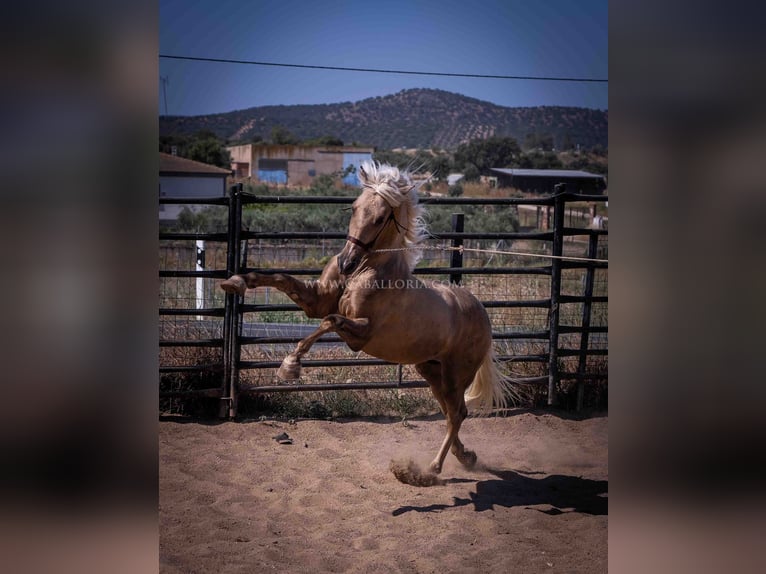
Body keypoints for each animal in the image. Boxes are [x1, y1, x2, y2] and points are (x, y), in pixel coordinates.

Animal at [222, 162, 520, 486]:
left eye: (379, 218)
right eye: (353, 208)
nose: (345, 263)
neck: (367, 271)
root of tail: (482, 313)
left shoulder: (360, 334)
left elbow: (329, 321)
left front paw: (290, 365)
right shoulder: (316, 300)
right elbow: (279, 279)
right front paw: (234, 282)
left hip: (456, 373)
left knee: (457, 414)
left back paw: (428, 470)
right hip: (430, 370)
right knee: (451, 411)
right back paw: (465, 457)